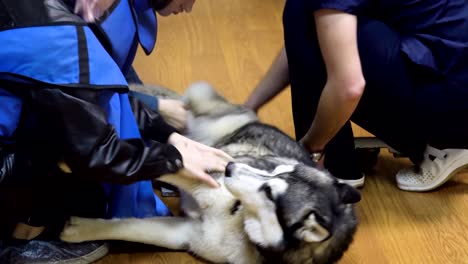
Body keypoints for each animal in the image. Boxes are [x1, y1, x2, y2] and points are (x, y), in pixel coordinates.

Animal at [60, 82, 360, 264]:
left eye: (268, 192)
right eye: (274, 170)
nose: (230, 166)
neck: (239, 220)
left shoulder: (188, 234)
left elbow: (132, 229)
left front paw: (79, 228)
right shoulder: (200, 173)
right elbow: (175, 166)